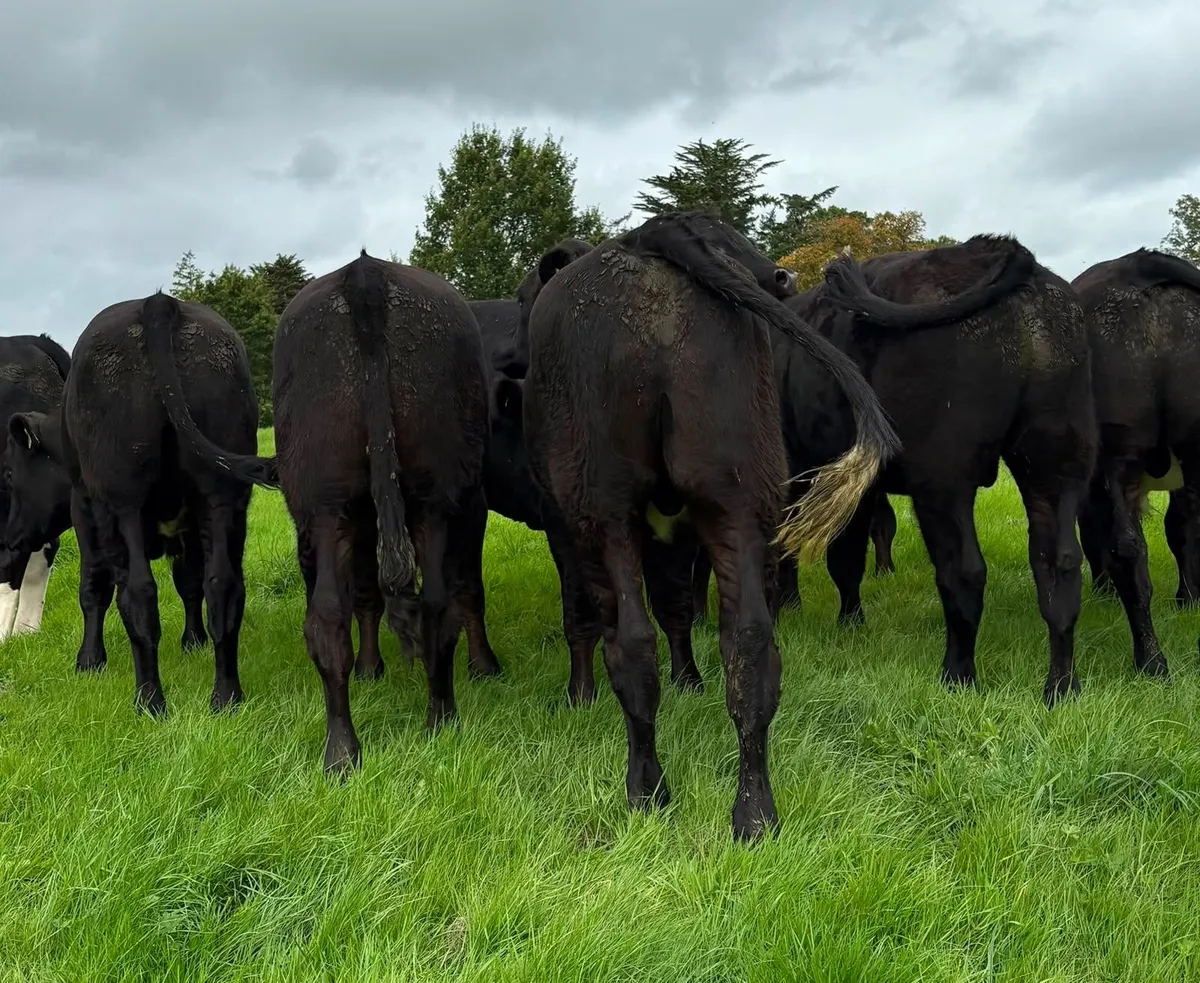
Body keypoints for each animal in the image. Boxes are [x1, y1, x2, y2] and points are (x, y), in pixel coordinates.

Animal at [4, 292, 277, 716]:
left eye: (10, 475)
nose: (10, 536)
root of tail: (158, 302)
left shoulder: (85, 510)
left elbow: (93, 586)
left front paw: (89, 661)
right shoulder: (191, 524)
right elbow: (190, 582)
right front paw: (193, 641)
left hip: (121, 503)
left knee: (137, 593)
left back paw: (149, 700)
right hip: (224, 495)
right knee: (223, 585)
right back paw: (226, 698)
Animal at [273, 251, 501, 775]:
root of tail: (364, 274)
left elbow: (366, 596)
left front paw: (370, 668)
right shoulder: (472, 505)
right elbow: (469, 590)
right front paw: (484, 666)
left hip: (328, 502)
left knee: (330, 617)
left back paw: (344, 751)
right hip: (433, 499)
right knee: (436, 603)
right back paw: (440, 717)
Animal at [476, 293, 705, 701]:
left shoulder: (679, 522)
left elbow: (676, 603)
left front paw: (688, 682)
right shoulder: (562, 523)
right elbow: (581, 609)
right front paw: (581, 694)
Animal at [518, 210, 901, 840]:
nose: (781, 276)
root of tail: (648, 239)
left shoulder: (563, 525)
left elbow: (596, 617)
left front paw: (587, 695)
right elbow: (680, 606)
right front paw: (690, 680)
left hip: (603, 505)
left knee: (632, 641)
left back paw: (647, 790)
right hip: (738, 492)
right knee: (749, 640)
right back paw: (755, 813)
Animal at [778, 234, 1097, 704]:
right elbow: (848, 554)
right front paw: (849, 623)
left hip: (944, 481)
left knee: (963, 572)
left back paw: (958, 675)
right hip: (1055, 466)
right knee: (1060, 565)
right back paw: (1060, 686)